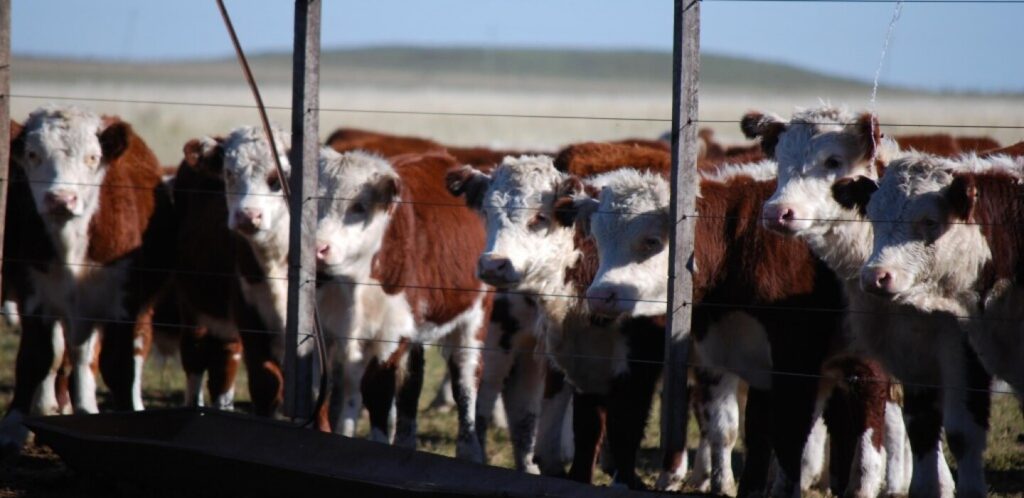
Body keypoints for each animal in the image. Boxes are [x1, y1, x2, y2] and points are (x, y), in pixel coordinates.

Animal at [0, 105, 174, 454]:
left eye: (93, 158)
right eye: (32, 154)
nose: (61, 198)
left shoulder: (123, 305)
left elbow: (118, 366)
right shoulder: (34, 296)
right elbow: (36, 358)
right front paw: (13, 426)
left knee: (90, 355)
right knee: (65, 355)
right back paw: (53, 405)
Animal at [314, 149, 493, 462]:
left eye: (359, 206)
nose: (318, 248)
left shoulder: (391, 333)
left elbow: (377, 391)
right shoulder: (324, 329)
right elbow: (326, 387)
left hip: (474, 320)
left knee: (466, 379)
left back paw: (469, 450)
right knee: (411, 382)